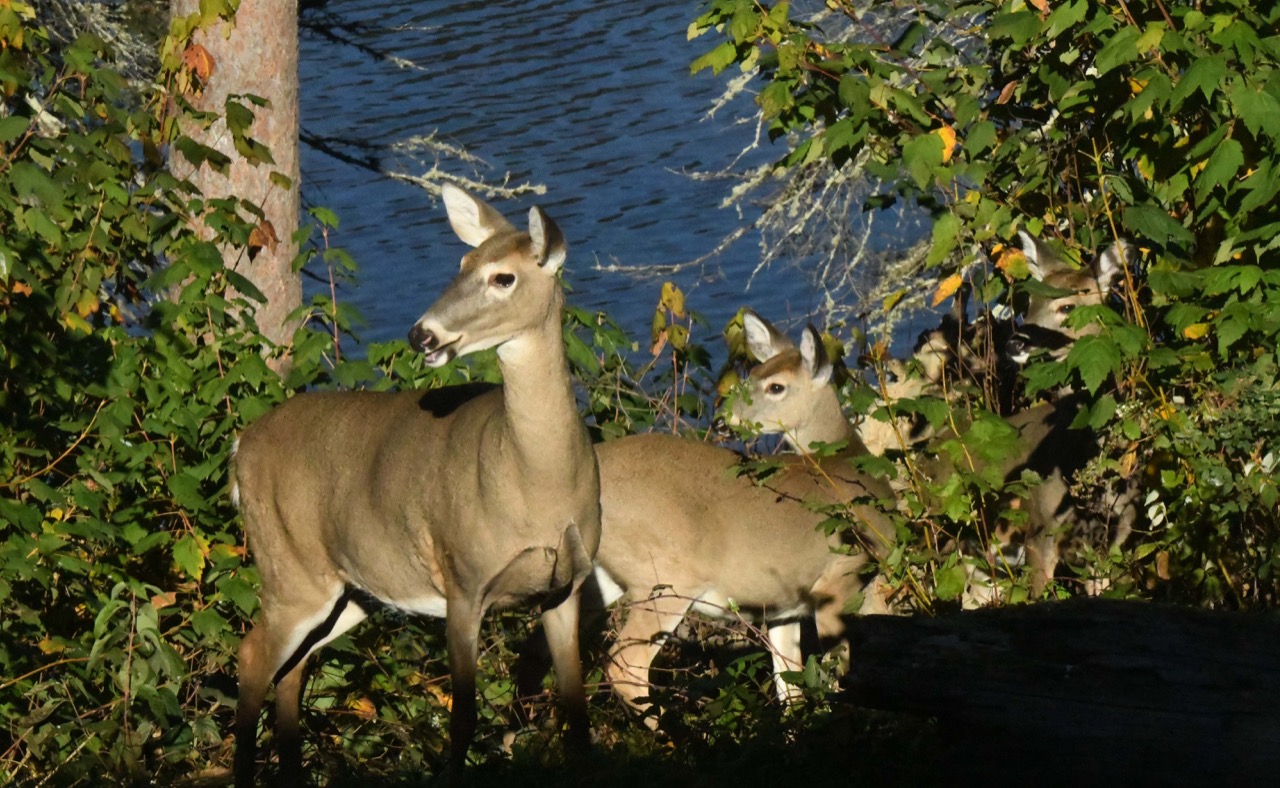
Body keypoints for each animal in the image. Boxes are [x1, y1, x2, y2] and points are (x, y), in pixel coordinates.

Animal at [230, 186, 601, 786]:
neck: (537, 484)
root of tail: (242, 445)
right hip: (289, 566)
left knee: (293, 669)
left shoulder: (564, 584)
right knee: (251, 657)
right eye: (462, 264)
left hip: (350, 591)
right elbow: (464, 714)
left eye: (503, 277)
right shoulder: (463, 579)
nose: (421, 334)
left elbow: (576, 708)